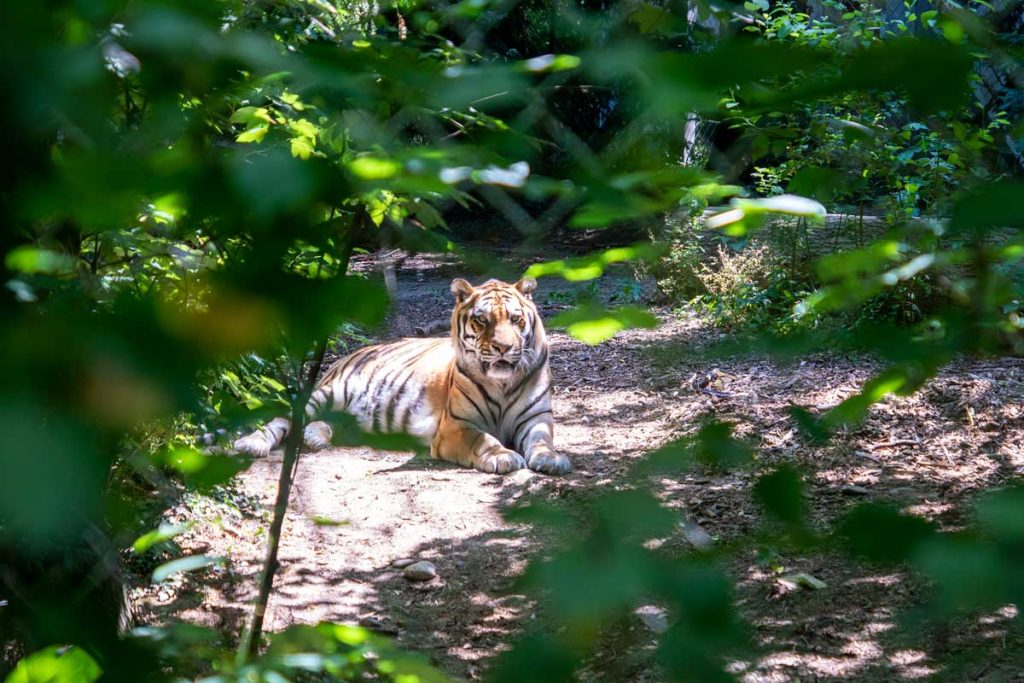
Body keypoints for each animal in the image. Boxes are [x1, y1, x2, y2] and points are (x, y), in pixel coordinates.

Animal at [233, 278, 573, 475]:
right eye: (482, 320)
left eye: (515, 319)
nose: (504, 347)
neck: (503, 382)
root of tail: (350, 353)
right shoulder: (456, 426)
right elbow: (484, 439)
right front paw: (503, 456)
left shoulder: (537, 418)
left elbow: (542, 440)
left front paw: (551, 459)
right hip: (327, 393)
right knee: (281, 419)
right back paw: (251, 443)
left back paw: (316, 437)